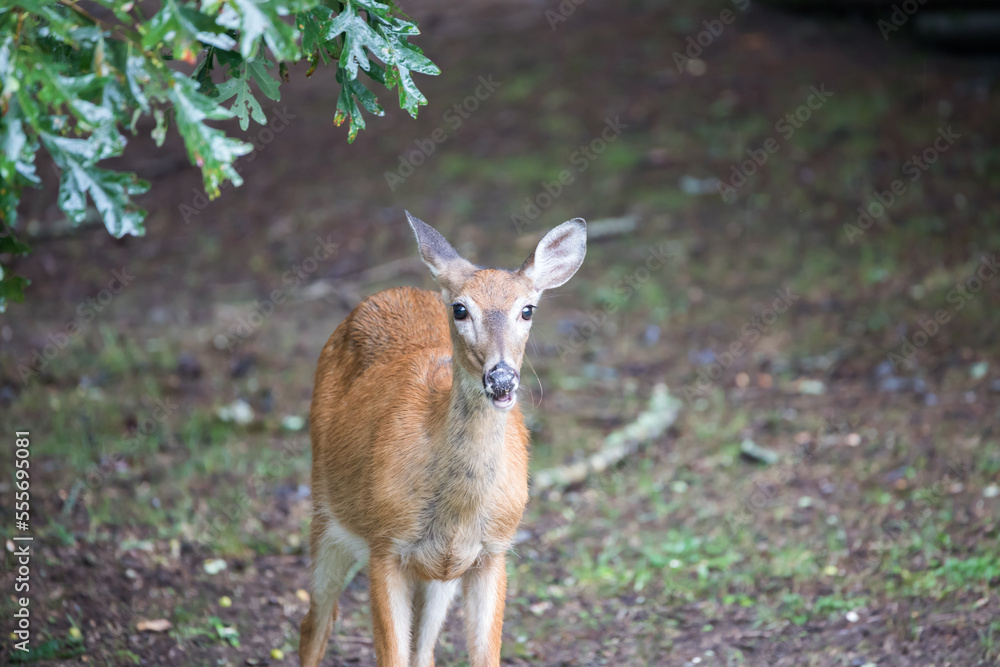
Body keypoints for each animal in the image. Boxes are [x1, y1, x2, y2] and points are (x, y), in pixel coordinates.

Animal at [299, 212, 587, 667]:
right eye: (460, 308)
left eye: (527, 309)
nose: (501, 377)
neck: (457, 513)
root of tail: (389, 291)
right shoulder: (384, 545)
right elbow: (391, 658)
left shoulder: (493, 551)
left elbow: (483, 657)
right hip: (326, 512)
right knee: (315, 623)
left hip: (436, 577)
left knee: (423, 650)